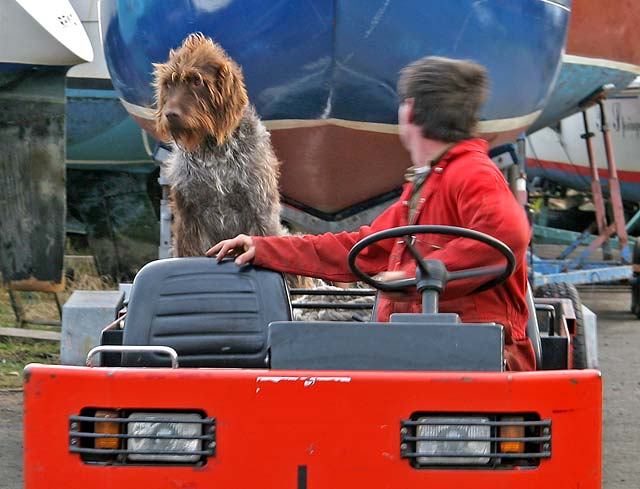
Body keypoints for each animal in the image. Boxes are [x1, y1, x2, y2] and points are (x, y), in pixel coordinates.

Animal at [152, 31, 282, 255]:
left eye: (197, 81)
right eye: (168, 84)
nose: (170, 114)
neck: (213, 152)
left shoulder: (260, 210)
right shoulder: (188, 216)